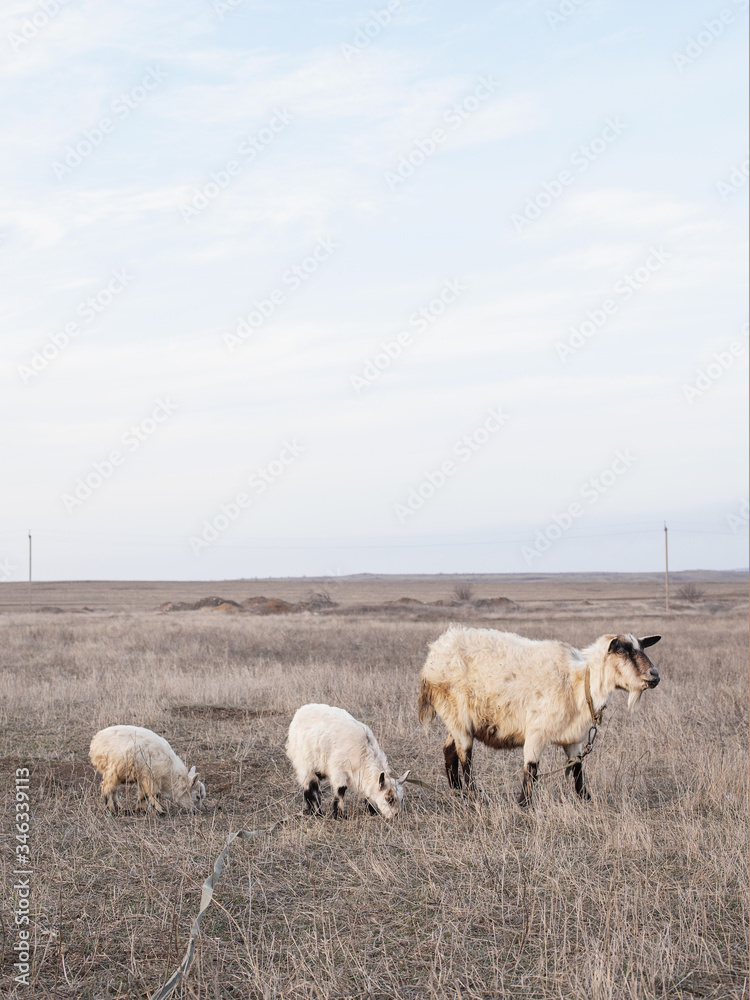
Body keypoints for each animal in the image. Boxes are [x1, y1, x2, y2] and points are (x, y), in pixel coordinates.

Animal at [417, 626, 661, 805]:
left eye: (642, 648)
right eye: (622, 651)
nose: (655, 675)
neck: (579, 683)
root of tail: (434, 653)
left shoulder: (573, 737)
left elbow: (577, 769)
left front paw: (586, 799)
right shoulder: (536, 732)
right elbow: (531, 770)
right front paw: (524, 804)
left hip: (459, 721)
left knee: (449, 751)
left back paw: (457, 792)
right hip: (457, 715)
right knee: (465, 757)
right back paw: (472, 795)